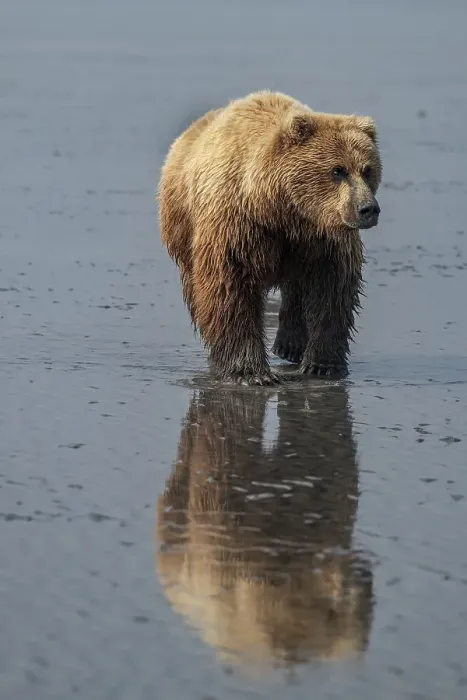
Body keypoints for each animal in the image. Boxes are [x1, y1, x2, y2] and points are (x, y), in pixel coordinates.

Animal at [158, 91, 382, 385]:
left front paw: (322, 364)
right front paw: (251, 373)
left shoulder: (321, 238)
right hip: (183, 230)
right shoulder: (238, 224)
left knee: (296, 287)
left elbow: (333, 288)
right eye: (337, 170)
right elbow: (231, 289)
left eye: (367, 169)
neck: (279, 208)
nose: (368, 209)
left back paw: (290, 344)